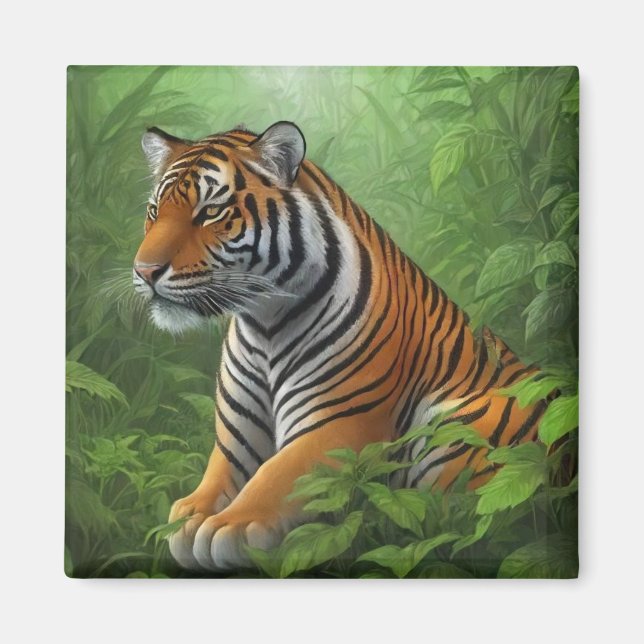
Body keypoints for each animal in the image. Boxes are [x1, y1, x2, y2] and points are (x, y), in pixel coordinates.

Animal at [133, 121, 550, 572]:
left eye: (210, 212)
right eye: (154, 212)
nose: (144, 271)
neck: (264, 322)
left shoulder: (338, 422)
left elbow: (277, 474)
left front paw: (230, 526)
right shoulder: (237, 434)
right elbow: (217, 475)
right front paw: (187, 518)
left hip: (461, 424)